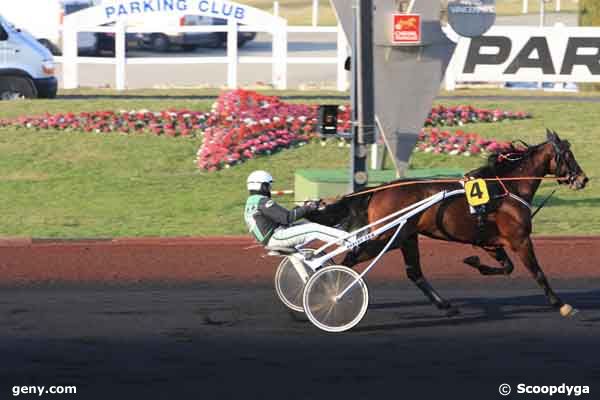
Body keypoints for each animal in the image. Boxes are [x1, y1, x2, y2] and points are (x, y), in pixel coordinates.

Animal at [308, 131, 588, 318]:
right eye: (568, 155)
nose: (583, 179)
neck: (507, 189)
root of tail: (380, 189)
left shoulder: (490, 242)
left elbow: (506, 267)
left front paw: (474, 263)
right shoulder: (519, 239)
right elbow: (538, 272)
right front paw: (561, 304)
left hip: (406, 237)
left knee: (414, 272)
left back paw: (445, 304)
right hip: (387, 237)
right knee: (350, 259)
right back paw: (328, 291)